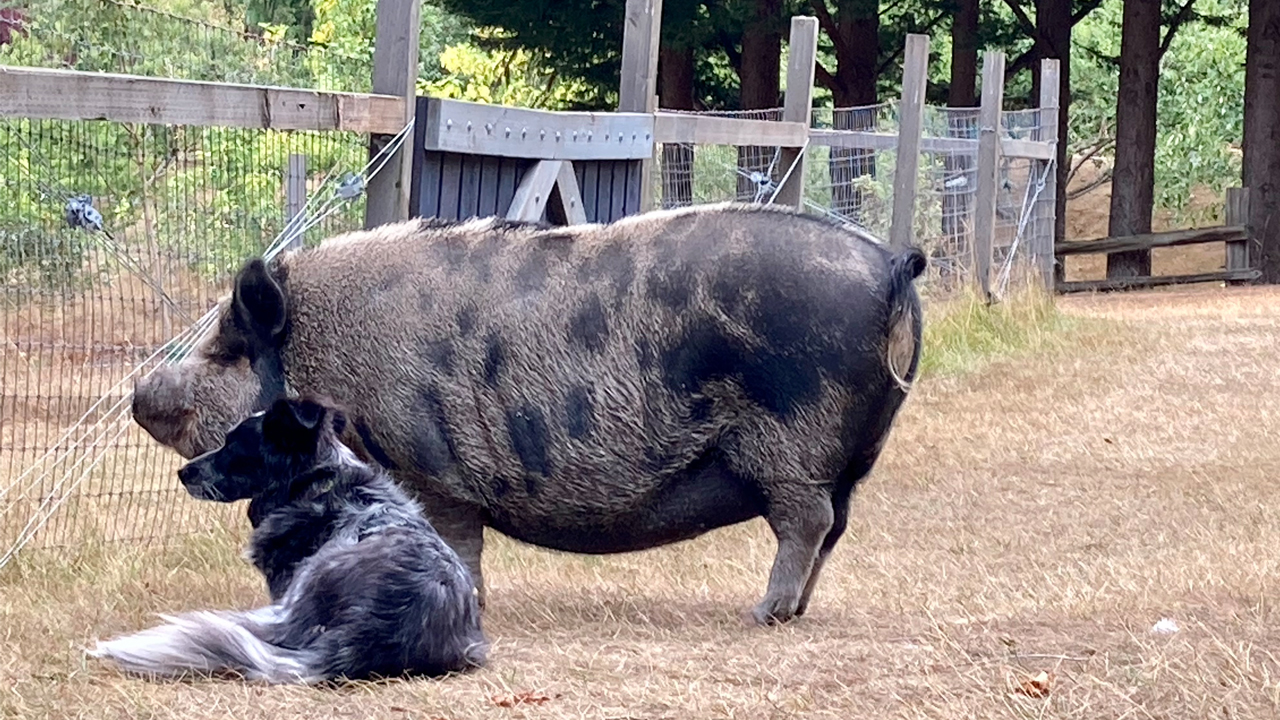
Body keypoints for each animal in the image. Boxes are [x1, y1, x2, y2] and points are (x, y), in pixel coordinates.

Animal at [135, 202, 926, 622]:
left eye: (229, 351)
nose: (141, 393)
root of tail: (890, 267)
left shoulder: (432, 463)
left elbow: (456, 537)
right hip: (853, 452)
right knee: (836, 526)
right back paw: (795, 611)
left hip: (794, 442)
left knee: (807, 521)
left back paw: (763, 614)